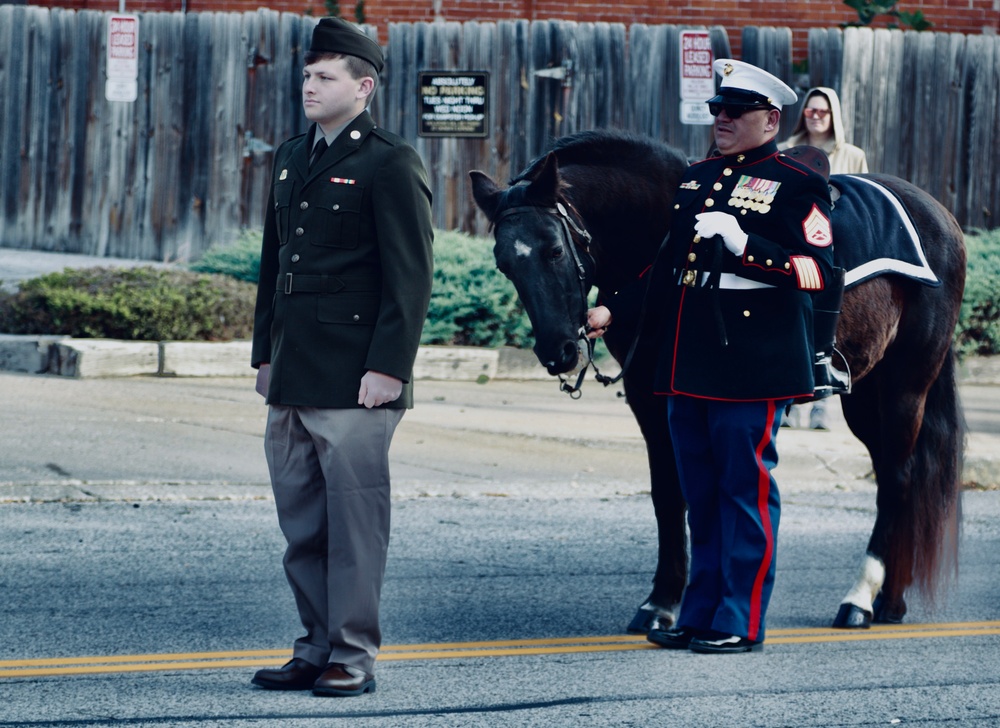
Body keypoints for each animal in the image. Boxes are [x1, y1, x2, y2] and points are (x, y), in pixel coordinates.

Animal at [472, 131, 964, 632]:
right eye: (503, 264)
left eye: (554, 250)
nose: (559, 353)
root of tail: (939, 213)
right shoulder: (650, 397)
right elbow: (670, 493)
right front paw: (663, 602)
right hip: (865, 395)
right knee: (890, 475)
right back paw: (891, 601)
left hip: (905, 385)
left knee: (899, 478)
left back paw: (860, 599)